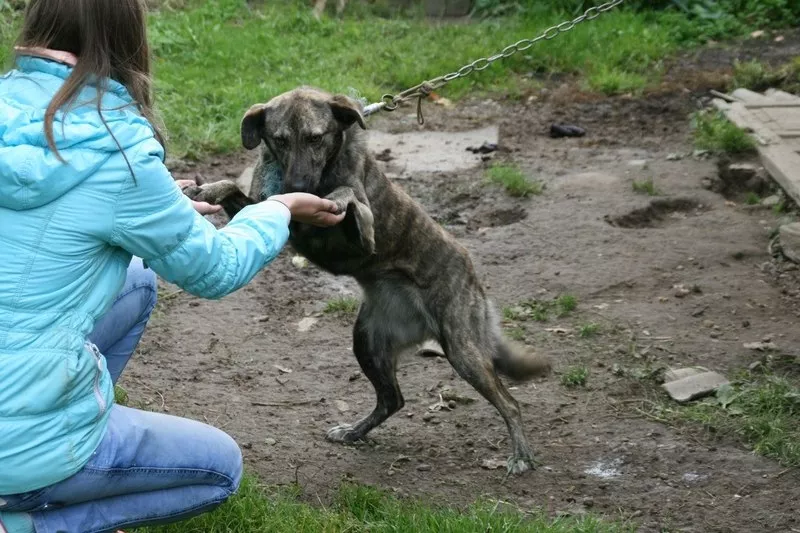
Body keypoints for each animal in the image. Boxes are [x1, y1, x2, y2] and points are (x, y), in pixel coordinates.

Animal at [184, 87, 552, 474]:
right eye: (280, 140)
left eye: (316, 138)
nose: (297, 186)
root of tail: (470, 272)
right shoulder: (263, 207)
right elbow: (230, 186)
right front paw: (206, 190)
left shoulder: (359, 229)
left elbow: (349, 199)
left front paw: (337, 199)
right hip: (367, 341)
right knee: (393, 400)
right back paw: (355, 431)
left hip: (462, 350)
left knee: (510, 403)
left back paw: (520, 455)